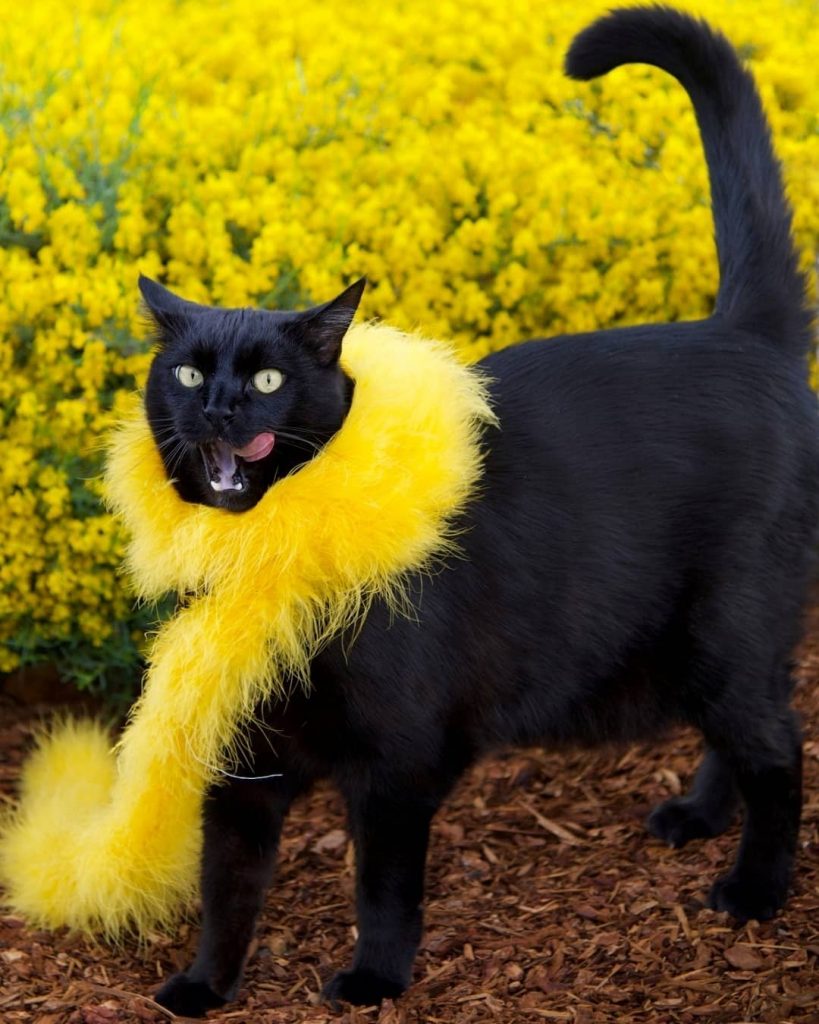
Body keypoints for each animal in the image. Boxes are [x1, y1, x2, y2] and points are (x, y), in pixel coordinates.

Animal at [150, 6, 814, 1015]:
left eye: (267, 380)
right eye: (187, 373)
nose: (221, 407)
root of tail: (740, 330)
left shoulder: (398, 763)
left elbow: (382, 886)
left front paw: (375, 981)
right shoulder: (243, 765)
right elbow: (226, 886)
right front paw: (201, 988)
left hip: (723, 628)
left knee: (778, 753)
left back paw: (753, 891)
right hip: (715, 645)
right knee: (752, 725)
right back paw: (698, 816)